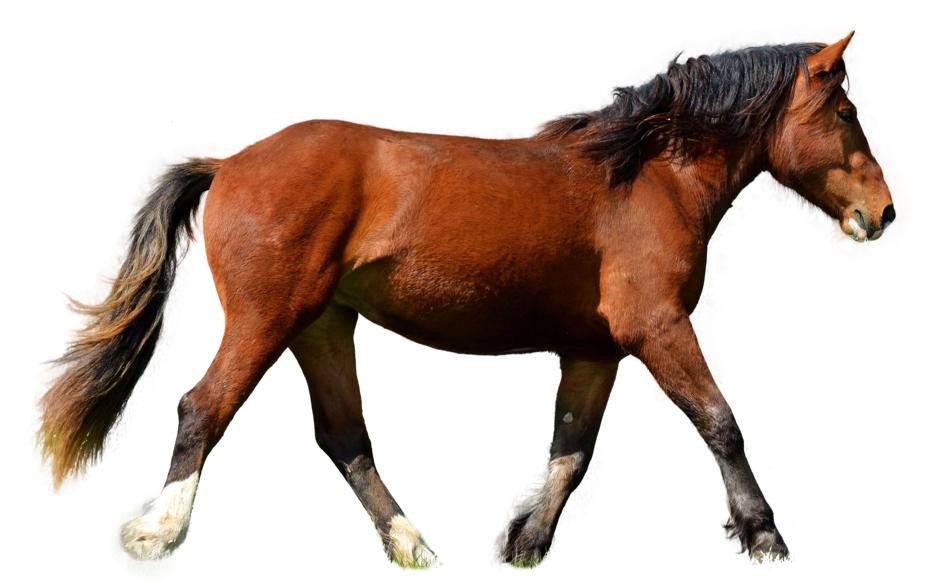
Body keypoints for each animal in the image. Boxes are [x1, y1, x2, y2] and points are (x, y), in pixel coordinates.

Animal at [39, 32, 894, 567]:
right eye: (844, 112)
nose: (883, 213)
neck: (645, 176)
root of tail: (229, 163)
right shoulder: (658, 329)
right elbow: (720, 422)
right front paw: (764, 534)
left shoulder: (594, 351)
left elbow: (571, 452)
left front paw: (525, 541)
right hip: (266, 319)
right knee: (202, 407)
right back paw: (157, 531)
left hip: (323, 326)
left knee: (344, 437)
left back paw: (412, 544)